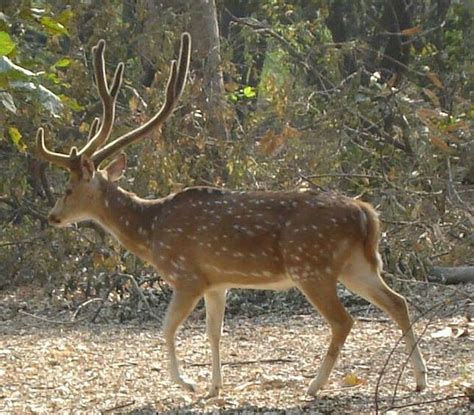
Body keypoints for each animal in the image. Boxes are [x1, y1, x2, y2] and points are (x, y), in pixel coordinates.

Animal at [36, 31, 426, 396]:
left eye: (68, 189)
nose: (52, 216)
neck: (151, 230)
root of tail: (366, 214)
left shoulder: (187, 275)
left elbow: (167, 327)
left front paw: (188, 383)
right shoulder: (217, 282)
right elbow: (214, 332)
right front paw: (214, 387)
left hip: (312, 265)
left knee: (344, 320)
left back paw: (315, 386)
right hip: (354, 265)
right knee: (399, 302)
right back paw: (420, 380)